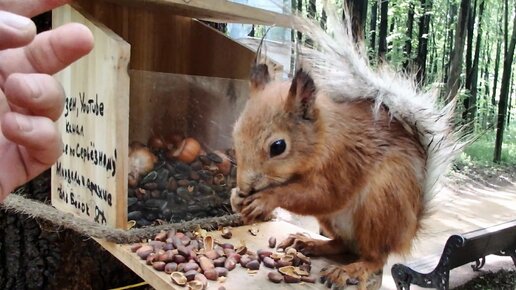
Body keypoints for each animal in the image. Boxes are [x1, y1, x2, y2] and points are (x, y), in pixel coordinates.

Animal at [229, 6, 460, 290]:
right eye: (235, 132)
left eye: (278, 146)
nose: (244, 188)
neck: (325, 137)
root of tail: (408, 232)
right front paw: (235, 198)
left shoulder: (345, 160)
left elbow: (322, 196)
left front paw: (265, 199)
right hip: (334, 221)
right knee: (343, 244)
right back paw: (309, 243)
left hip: (381, 205)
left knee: (375, 257)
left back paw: (350, 268)